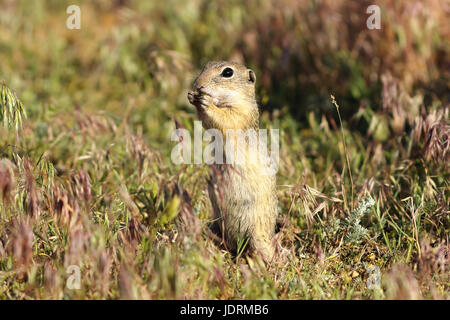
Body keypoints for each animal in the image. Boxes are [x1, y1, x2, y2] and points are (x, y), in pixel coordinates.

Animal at [186, 61, 278, 262]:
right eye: (205, 66)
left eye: (227, 72)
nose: (197, 85)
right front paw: (192, 97)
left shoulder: (240, 113)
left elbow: (226, 119)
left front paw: (205, 102)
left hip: (256, 234)